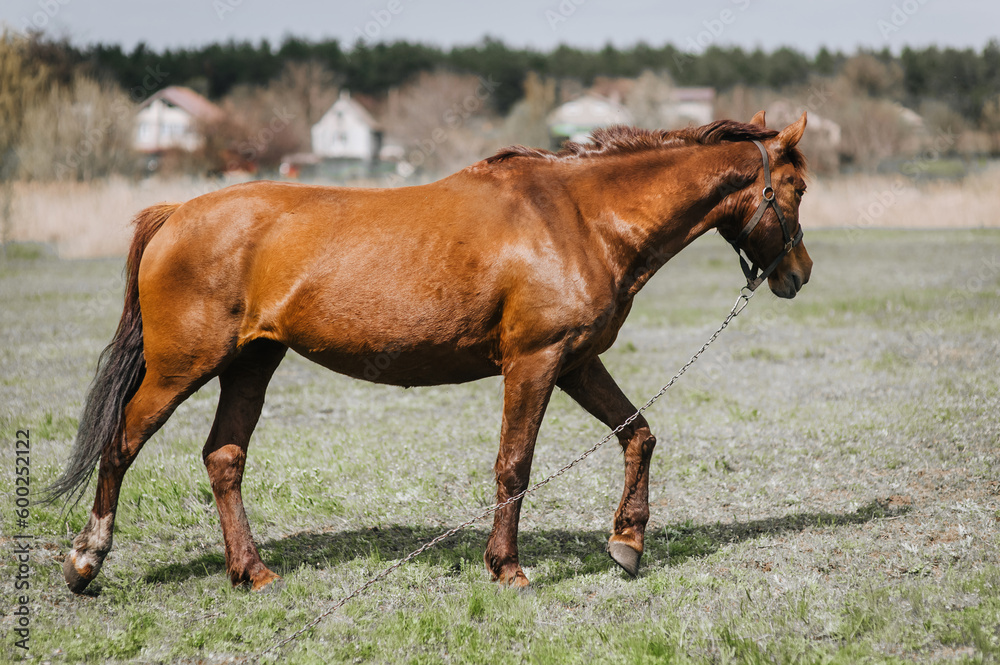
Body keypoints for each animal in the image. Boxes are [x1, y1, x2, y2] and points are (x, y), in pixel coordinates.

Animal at [45, 111, 811, 593]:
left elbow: (638, 434)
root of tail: (176, 212)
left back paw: (252, 572)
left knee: (224, 458)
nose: (798, 274)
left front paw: (626, 544)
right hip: (181, 368)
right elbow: (513, 464)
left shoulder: (575, 361)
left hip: (251, 363)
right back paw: (87, 560)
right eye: (797, 188)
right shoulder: (534, 361)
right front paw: (505, 567)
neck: (578, 218)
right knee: (121, 442)